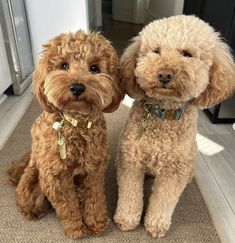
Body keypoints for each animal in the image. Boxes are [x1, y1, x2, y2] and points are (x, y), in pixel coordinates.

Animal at [7, 30, 123, 239]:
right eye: (63, 65)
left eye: (94, 68)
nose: (77, 87)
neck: (76, 124)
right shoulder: (55, 178)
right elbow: (68, 207)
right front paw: (76, 229)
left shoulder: (93, 171)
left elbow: (94, 198)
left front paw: (97, 223)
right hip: (33, 178)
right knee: (28, 198)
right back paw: (32, 210)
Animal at [114, 15, 235, 237]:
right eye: (156, 51)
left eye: (187, 54)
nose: (164, 74)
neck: (164, 112)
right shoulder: (131, 161)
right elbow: (130, 194)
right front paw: (126, 219)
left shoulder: (174, 171)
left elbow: (164, 200)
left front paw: (156, 224)